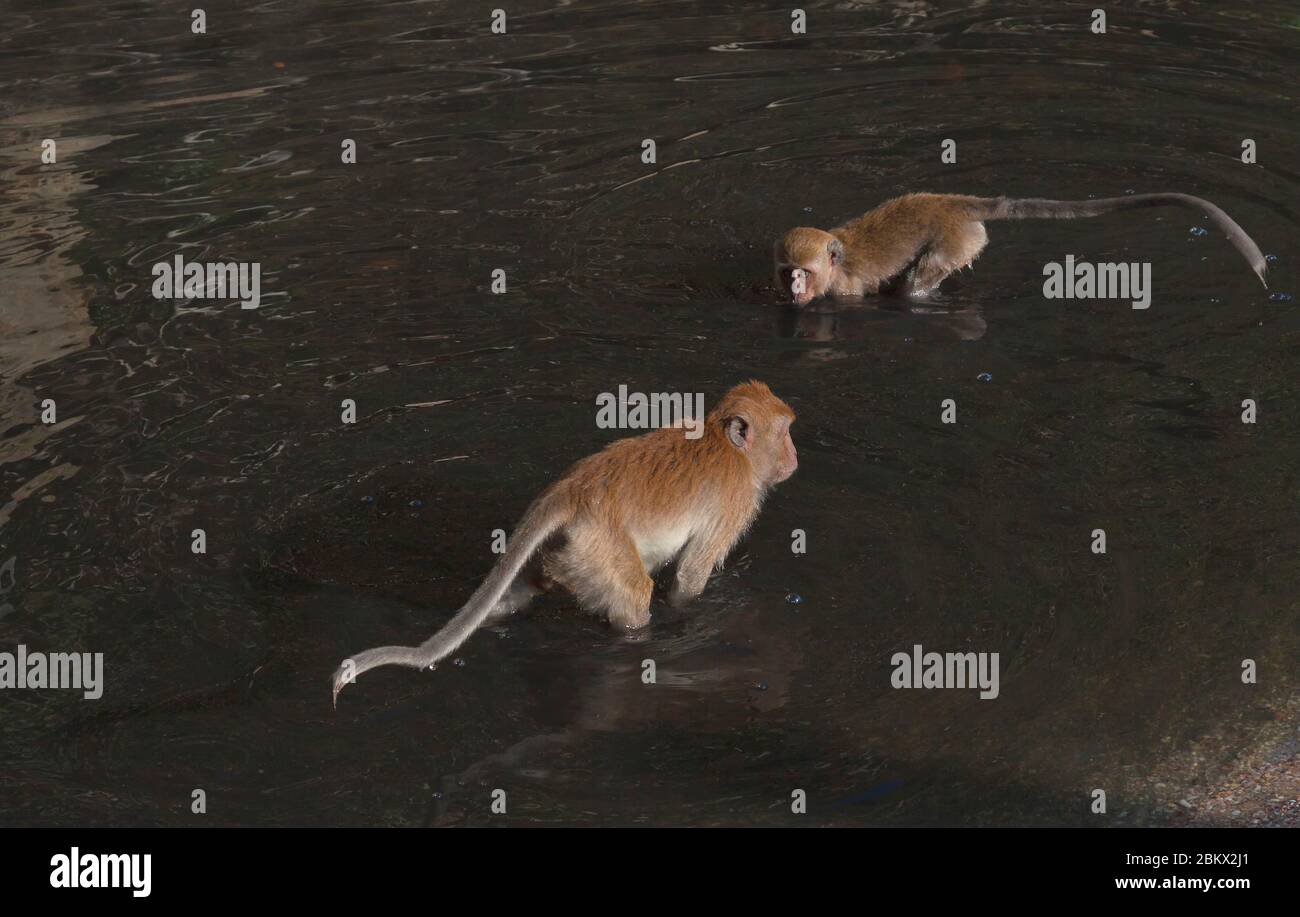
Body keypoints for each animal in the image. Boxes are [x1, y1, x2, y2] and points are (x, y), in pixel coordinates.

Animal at [331, 380, 798, 703]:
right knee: (633, 593)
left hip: (569, 548)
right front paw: (686, 614)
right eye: (785, 433)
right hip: (599, 544)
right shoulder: (736, 502)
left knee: (529, 586)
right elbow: (690, 576)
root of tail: (573, 491)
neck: (726, 443)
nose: (794, 457)